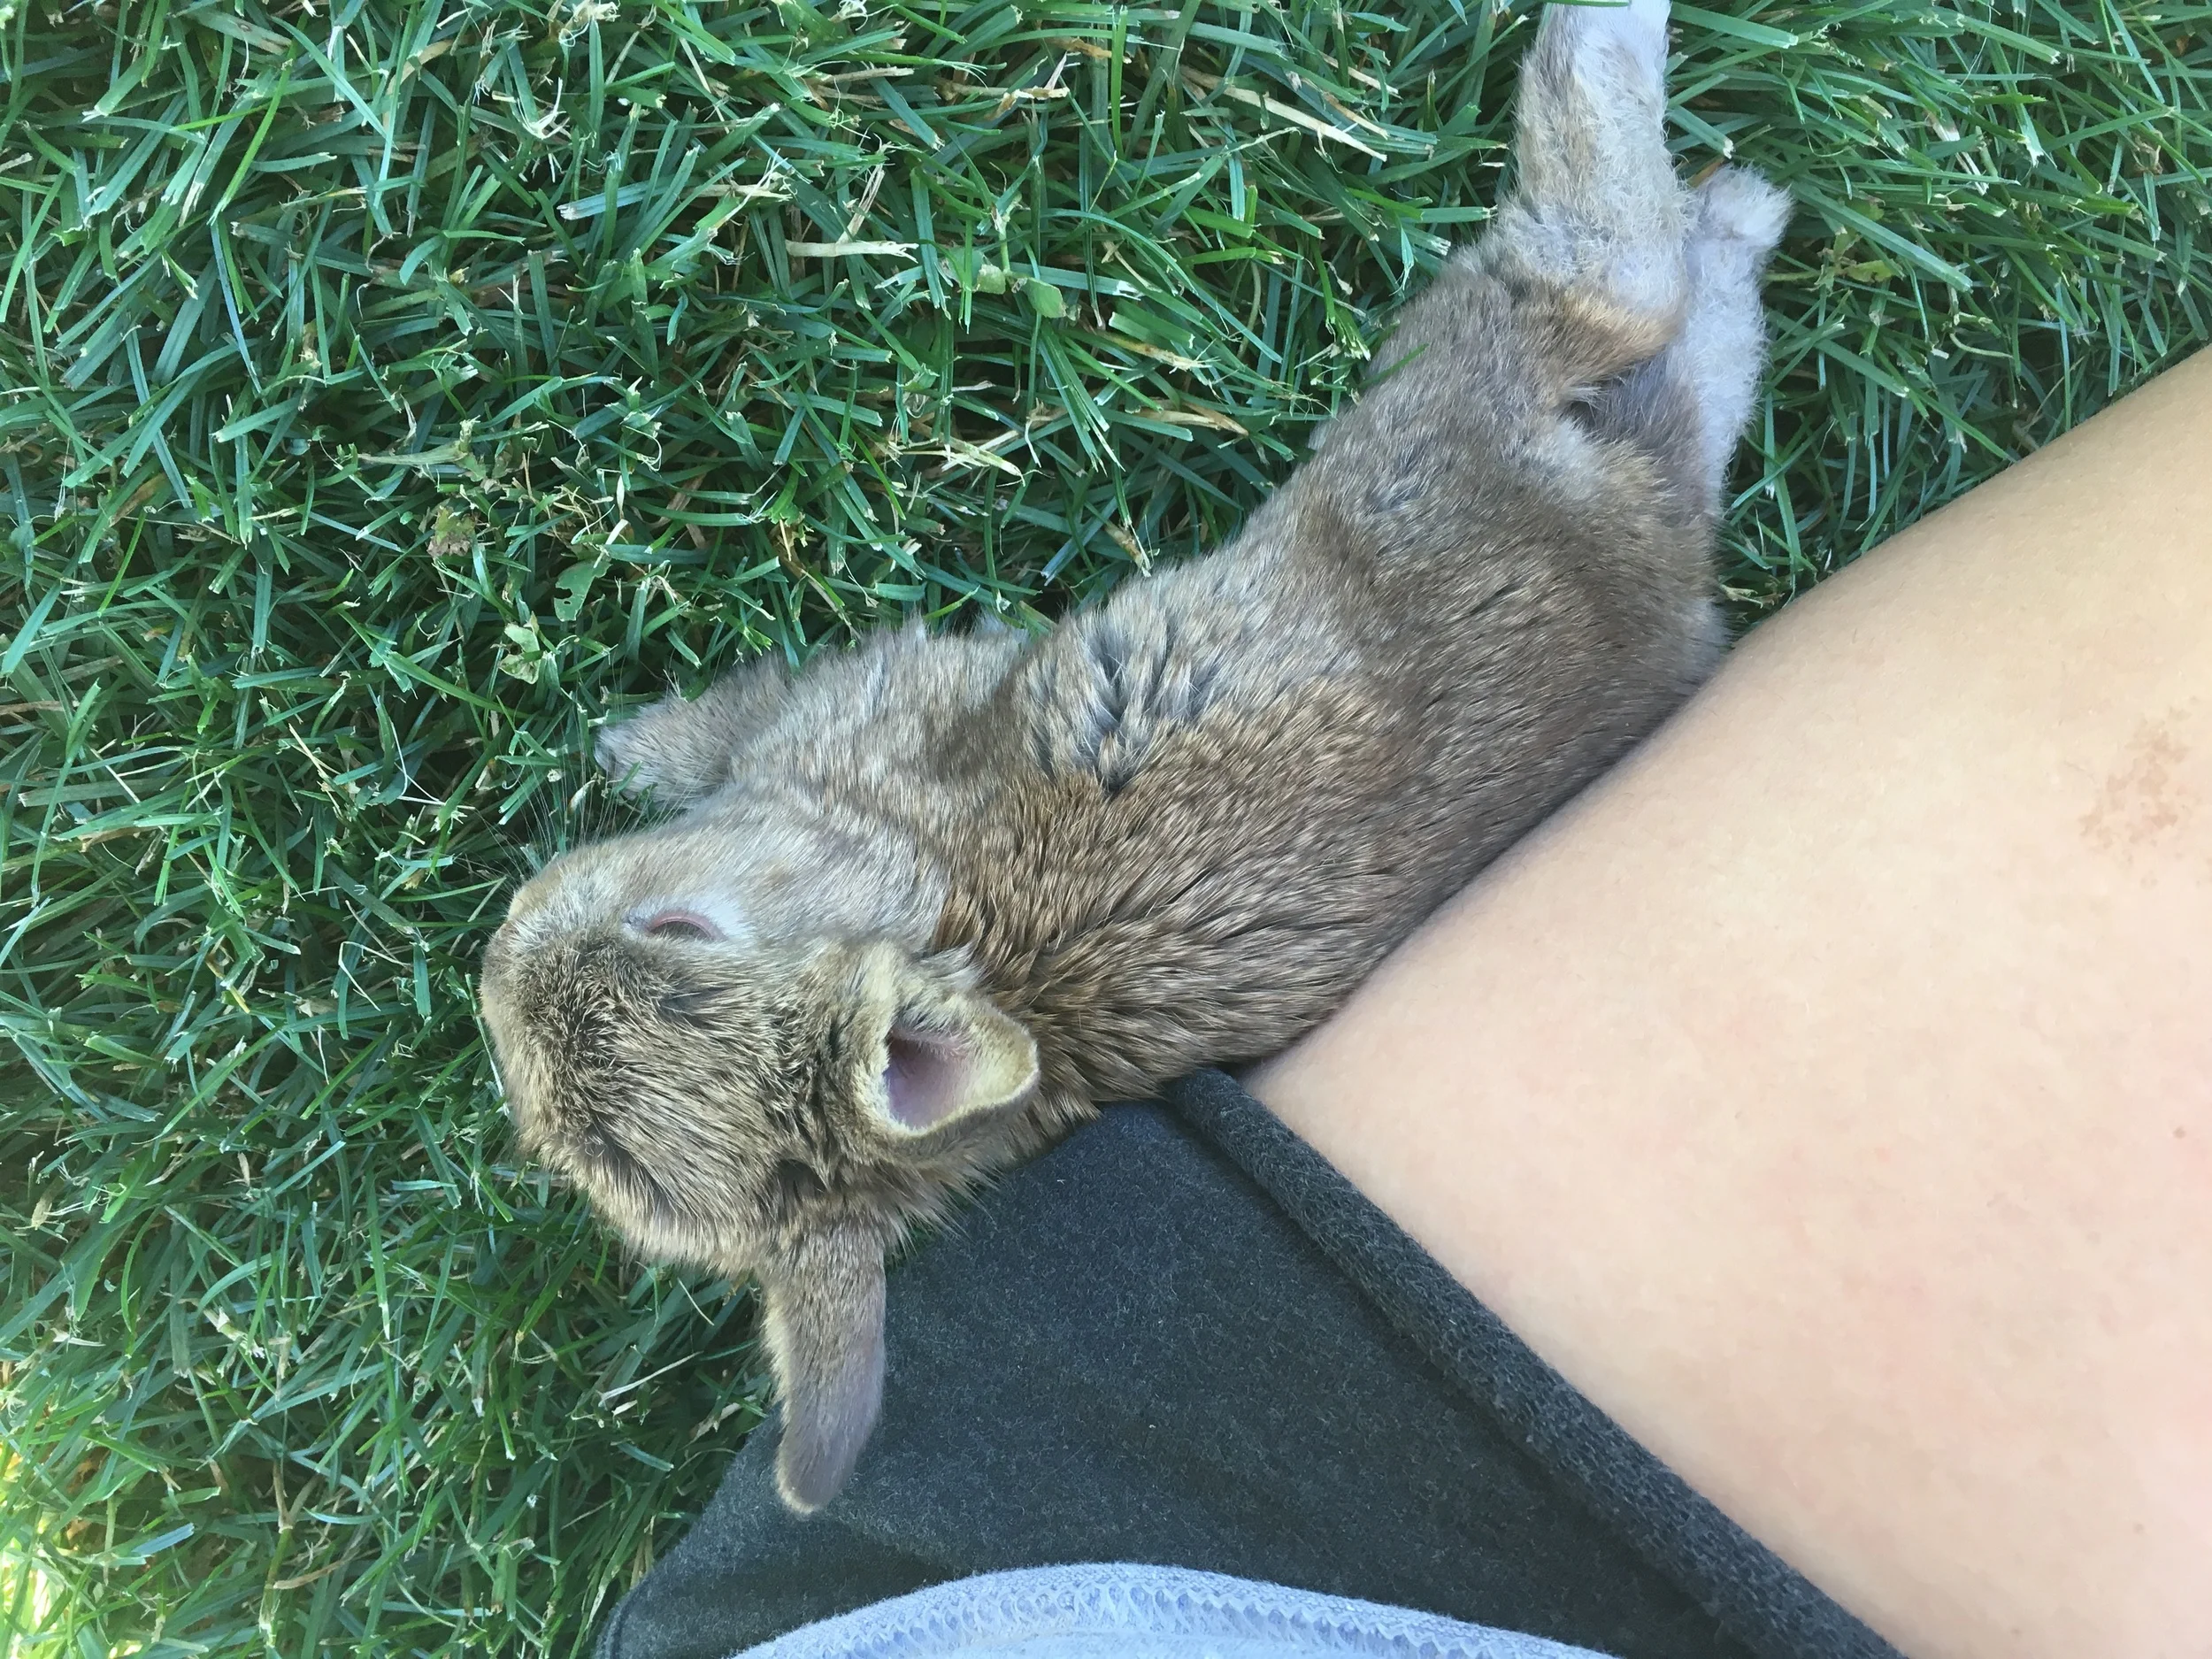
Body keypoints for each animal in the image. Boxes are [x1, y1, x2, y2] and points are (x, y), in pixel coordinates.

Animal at [478, 0, 1790, 1517]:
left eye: (677, 929)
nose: (494, 964)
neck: (945, 904)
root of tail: (1640, 559)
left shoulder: (860, 702)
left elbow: (730, 720)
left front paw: (623, 742)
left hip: (1446, 387)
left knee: (1600, 265)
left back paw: (1634, 67)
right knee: (1674, 315)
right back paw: (1743, 204)